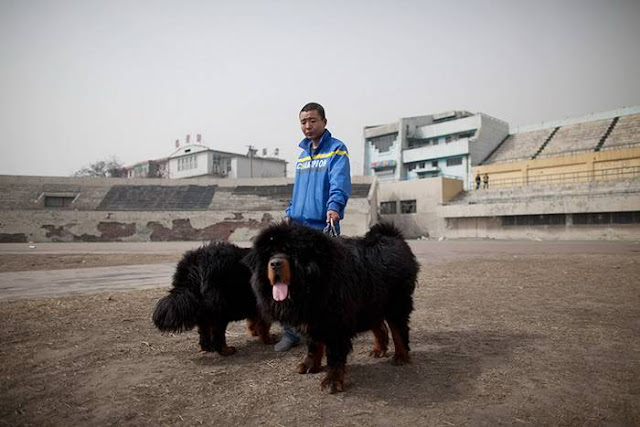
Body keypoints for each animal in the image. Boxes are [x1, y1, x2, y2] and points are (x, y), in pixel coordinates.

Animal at [246, 222, 419, 393]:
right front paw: (310, 365)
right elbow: (314, 346)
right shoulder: (312, 321)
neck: (312, 283)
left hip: (396, 303)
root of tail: (392, 235)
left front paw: (332, 381)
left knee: (399, 330)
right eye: (269, 254)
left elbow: (335, 355)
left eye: (290, 252)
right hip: (371, 304)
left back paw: (401, 356)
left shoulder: (336, 325)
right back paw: (379, 350)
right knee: (380, 327)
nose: (275, 263)